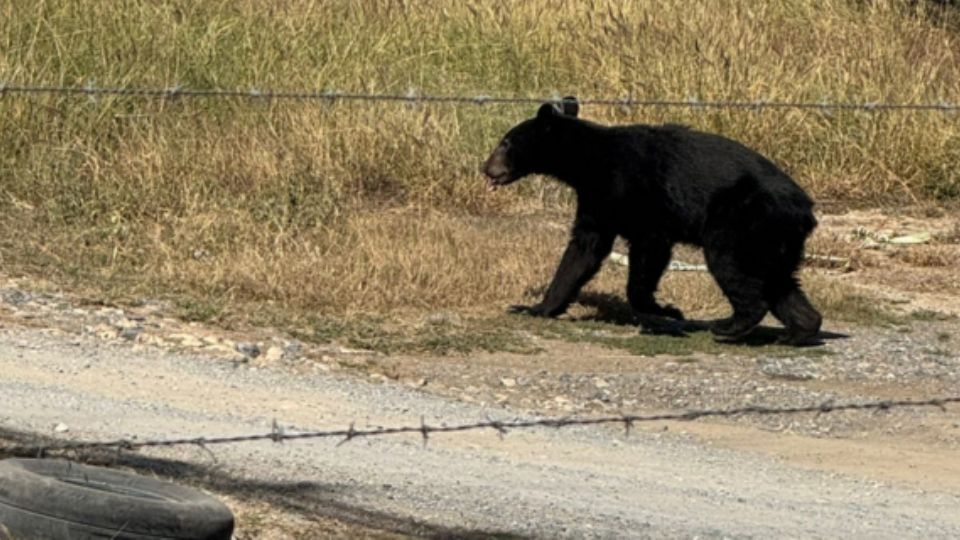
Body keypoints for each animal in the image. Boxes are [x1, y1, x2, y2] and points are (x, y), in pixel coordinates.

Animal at [484, 97, 820, 346]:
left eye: (505, 142)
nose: (486, 168)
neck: (588, 162)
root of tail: (807, 210)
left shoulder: (632, 190)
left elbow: (649, 247)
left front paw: (667, 310)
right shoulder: (598, 200)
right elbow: (582, 251)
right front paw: (534, 307)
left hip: (743, 219)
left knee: (730, 264)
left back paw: (731, 325)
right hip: (774, 238)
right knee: (780, 282)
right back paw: (799, 330)